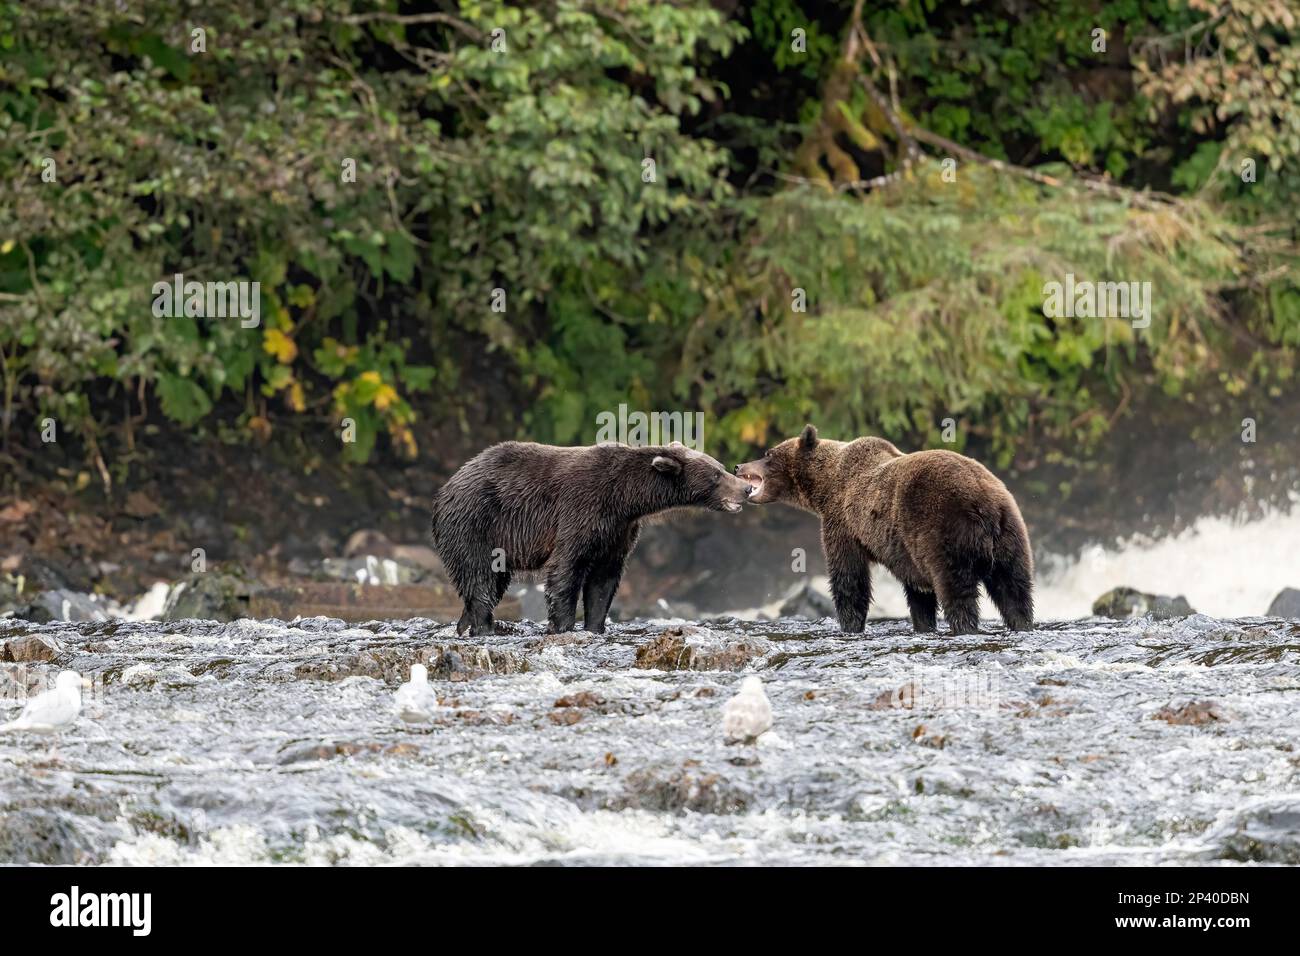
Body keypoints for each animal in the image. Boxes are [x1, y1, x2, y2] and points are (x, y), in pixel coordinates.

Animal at [431, 442, 748, 634]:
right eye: (716, 475)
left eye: (720, 468)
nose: (745, 488)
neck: (624, 499)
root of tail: (447, 486)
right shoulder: (582, 510)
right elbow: (565, 570)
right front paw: (562, 625)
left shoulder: (618, 531)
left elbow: (603, 581)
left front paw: (595, 626)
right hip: (476, 523)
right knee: (481, 578)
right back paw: (485, 626)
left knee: (490, 584)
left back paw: (464, 625)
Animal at [738, 426, 1029, 634]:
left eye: (768, 454)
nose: (739, 465)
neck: (825, 487)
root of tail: (983, 503)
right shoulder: (907, 550)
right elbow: (918, 592)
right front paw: (923, 624)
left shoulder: (842, 522)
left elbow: (849, 578)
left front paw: (850, 625)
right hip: (1010, 534)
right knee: (1014, 588)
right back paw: (1022, 623)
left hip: (947, 529)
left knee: (957, 589)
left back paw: (964, 626)